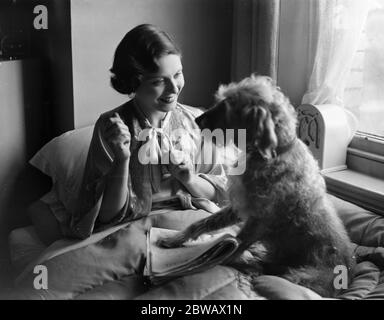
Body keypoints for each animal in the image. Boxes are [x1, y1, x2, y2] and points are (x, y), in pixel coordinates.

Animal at [158, 75, 356, 298]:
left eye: (227, 105)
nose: (197, 121)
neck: (273, 154)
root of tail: (349, 275)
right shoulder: (242, 206)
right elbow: (204, 223)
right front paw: (177, 238)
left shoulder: (259, 221)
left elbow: (236, 244)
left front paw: (221, 258)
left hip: (298, 276)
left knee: (269, 268)